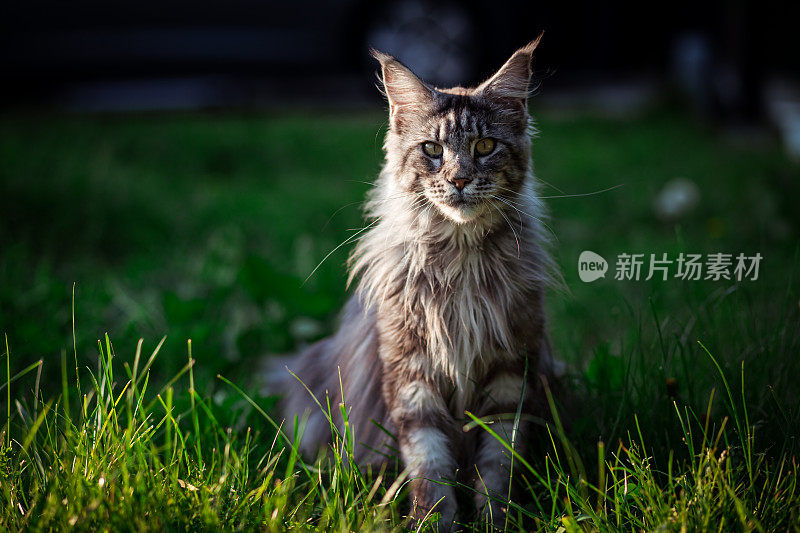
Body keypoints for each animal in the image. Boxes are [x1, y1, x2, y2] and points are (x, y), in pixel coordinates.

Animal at [268, 36, 556, 528]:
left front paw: (496, 521)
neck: (460, 261)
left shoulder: (510, 371)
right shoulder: (411, 371)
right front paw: (433, 522)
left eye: (485, 146)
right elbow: (430, 464)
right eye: (432, 150)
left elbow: (498, 464)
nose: (459, 179)